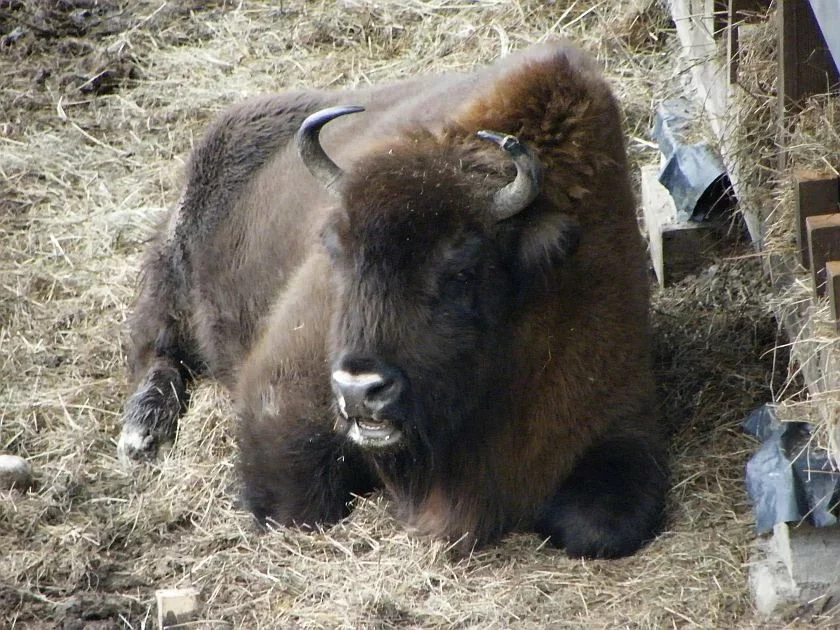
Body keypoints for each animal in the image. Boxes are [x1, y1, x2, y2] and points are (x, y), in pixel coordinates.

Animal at [118, 42, 668, 560]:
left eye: (462, 266)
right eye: (336, 250)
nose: (361, 389)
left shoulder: (621, 410)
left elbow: (597, 526)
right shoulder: (279, 397)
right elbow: (297, 506)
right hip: (173, 270)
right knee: (154, 347)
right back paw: (141, 434)